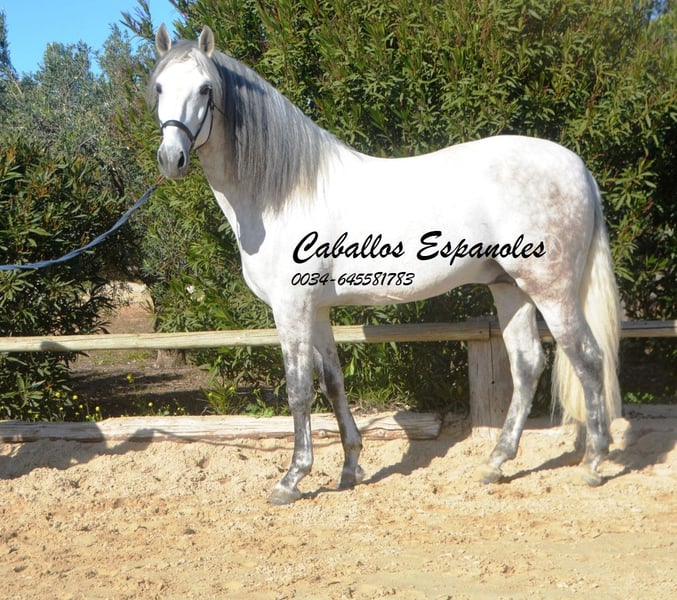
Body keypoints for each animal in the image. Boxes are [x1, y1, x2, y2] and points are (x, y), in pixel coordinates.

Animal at [149, 24, 621, 505]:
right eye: (159, 87)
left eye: (206, 89)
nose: (171, 159)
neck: (283, 193)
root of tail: (577, 167)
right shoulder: (318, 310)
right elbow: (334, 384)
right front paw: (350, 468)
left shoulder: (292, 308)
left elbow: (299, 390)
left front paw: (291, 478)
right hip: (510, 287)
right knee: (527, 365)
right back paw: (496, 462)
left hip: (551, 290)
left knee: (587, 358)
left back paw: (593, 462)